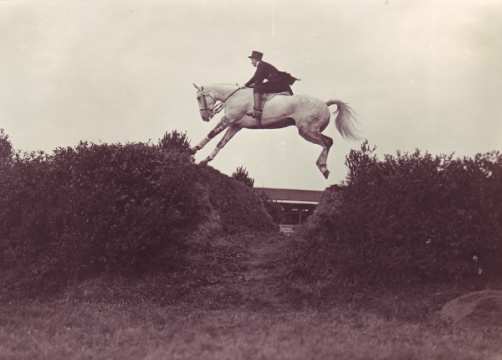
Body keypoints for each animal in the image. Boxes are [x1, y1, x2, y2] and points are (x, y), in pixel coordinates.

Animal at [190, 83, 358, 179]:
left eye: (198, 98)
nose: (205, 117)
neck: (234, 97)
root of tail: (324, 103)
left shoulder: (228, 120)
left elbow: (211, 134)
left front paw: (193, 149)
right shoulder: (235, 126)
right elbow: (221, 143)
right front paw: (206, 160)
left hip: (307, 131)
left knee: (327, 142)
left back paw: (322, 167)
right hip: (309, 131)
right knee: (328, 142)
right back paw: (323, 168)